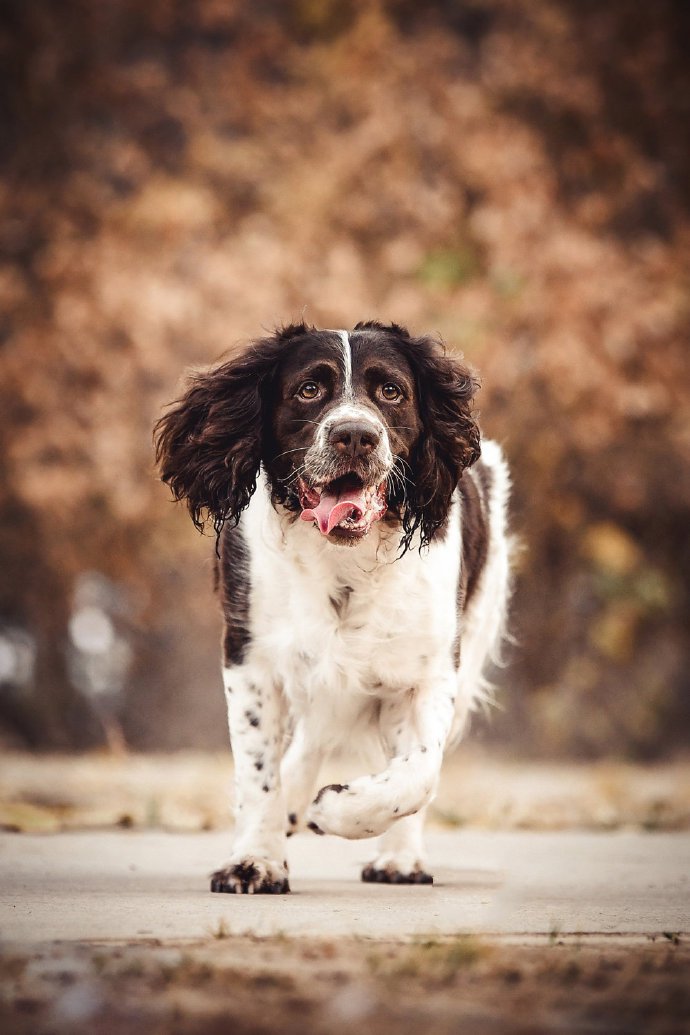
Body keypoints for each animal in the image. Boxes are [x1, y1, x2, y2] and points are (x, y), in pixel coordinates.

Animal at [156, 320, 513, 890]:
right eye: (308, 390)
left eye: (391, 391)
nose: (355, 435)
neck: (344, 560)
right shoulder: (250, 656)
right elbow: (257, 771)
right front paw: (256, 860)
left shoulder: (430, 670)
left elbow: (419, 773)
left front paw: (338, 810)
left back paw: (397, 859)